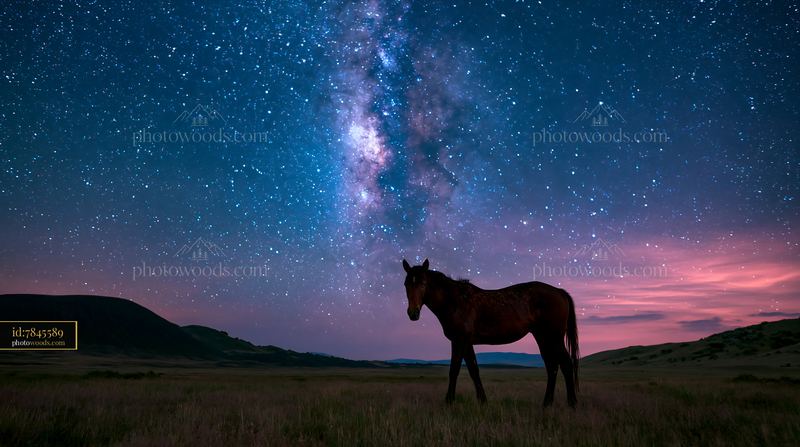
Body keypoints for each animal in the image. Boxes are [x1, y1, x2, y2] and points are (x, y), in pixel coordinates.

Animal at [402, 258, 579, 407]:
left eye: (423, 283)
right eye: (406, 284)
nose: (413, 313)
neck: (454, 301)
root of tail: (559, 292)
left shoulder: (459, 340)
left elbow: (454, 370)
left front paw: (449, 401)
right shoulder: (466, 343)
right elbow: (474, 370)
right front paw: (483, 401)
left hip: (554, 338)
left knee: (565, 364)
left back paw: (572, 404)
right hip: (543, 337)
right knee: (552, 366)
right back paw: (547, 404)